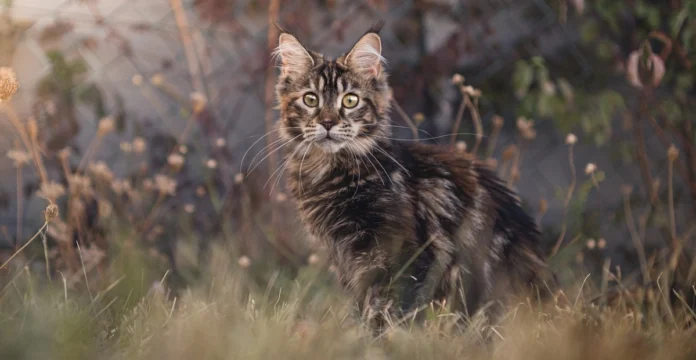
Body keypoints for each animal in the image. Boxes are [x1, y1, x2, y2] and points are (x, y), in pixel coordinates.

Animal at [272, 24, 556, 326]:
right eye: (310, 99)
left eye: (350, 100)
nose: (327, 123)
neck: (331, 172)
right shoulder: (346, 259)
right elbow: (363, 305)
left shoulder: (403, 253)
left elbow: (386, 308)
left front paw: (377, 335)